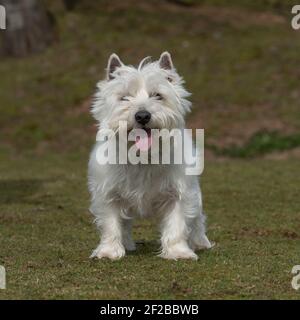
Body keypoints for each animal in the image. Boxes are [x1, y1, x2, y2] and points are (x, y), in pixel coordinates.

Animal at [88, 51, 212, 258]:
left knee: (197, 219)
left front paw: (178, 252)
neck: (142, 156)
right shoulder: (108, 193)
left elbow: (177, 223)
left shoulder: (179, 192)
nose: (142, 116)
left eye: (157, 95)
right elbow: (111, 223)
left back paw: (200, 242)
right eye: (124, 97)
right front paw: (109, 251)